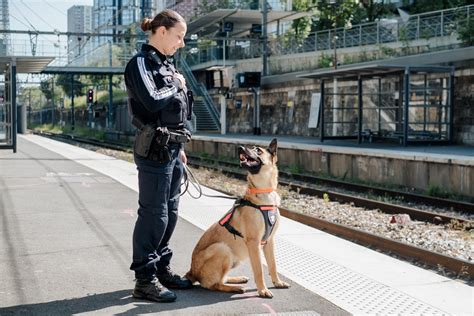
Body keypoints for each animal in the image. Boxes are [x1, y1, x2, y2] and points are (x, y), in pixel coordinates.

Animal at [184, 139, 288, 298]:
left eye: (258, 150)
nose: (240, 148)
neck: (263, 192)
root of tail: (192, 271)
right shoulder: (254, 243)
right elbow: (259, 270)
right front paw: (262, 290)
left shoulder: (269, 241)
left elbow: (273, 265)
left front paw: (277, 282)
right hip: (222, 249)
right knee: (213, 284)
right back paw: (235, 288)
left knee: (221, 278)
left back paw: (237, 279)